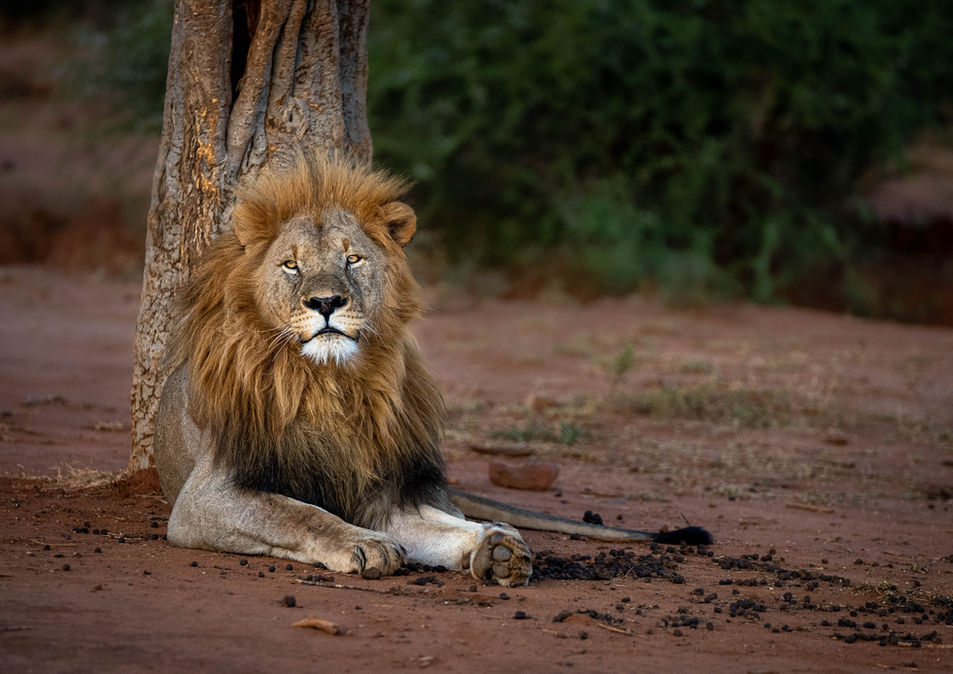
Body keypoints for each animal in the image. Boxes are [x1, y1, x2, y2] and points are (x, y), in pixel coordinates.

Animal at [154, 151, 710, 588]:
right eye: (291, 265)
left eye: (353, 259)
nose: (327, 302)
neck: (330, 382)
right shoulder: (205, 497)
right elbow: (300, 513)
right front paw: (366, 545)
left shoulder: (381, 490)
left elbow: (437, 527)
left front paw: (496, 547)